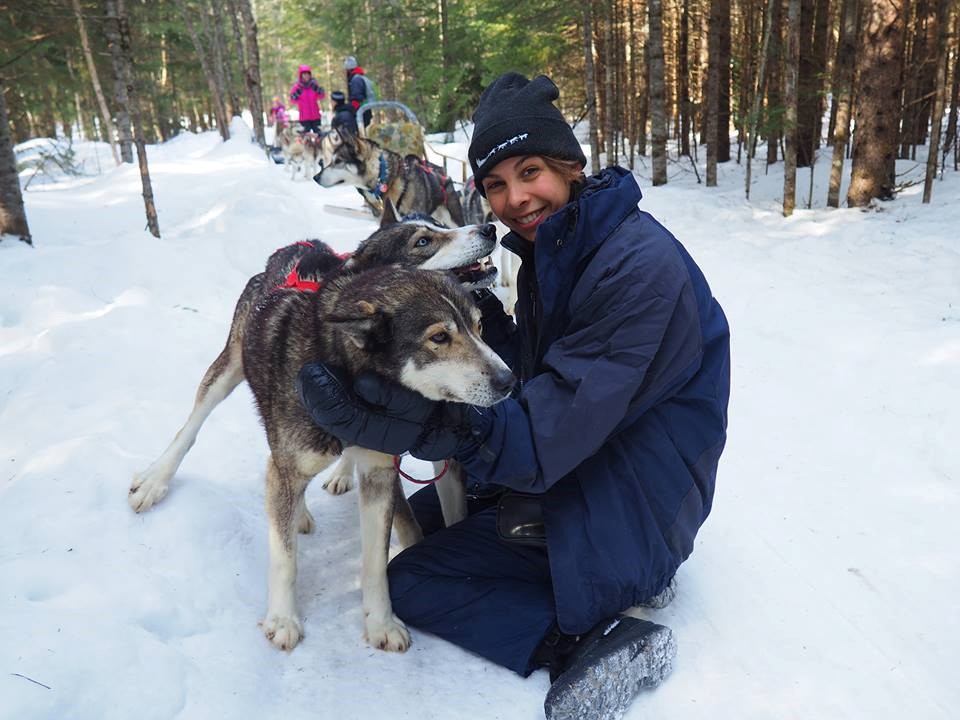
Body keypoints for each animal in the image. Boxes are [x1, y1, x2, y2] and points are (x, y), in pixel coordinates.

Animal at [129, 208, 502, 652]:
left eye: (480, 328)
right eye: (423, 241)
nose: (509, 380)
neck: (343, 372)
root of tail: (301, 247)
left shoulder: (382, 468)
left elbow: (378, 559)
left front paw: (381, 622)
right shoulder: (297, 463)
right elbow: (284, 554)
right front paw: (283, 618)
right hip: (229, 368)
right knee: (195, 426)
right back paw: (157, 479)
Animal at [316, 134, 464, 226]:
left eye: (338, 161)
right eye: (332, 161)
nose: (315, 177)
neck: (384, 180)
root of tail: (442, 171)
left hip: (453, 219)